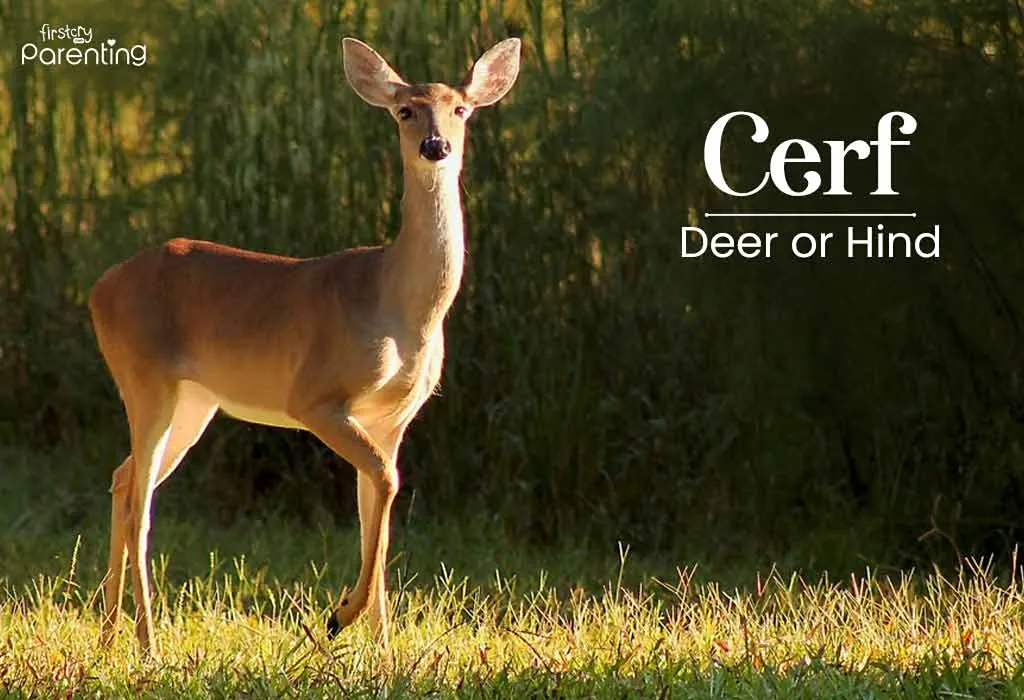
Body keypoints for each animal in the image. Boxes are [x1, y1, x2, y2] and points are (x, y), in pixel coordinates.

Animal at [87, 36, 521, 657]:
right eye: (404, 110)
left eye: (460, 108)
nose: (435, 145)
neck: (397, 303)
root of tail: (99, 289)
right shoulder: (315, 397)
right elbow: (387, 483)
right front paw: (340, 617)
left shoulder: (393, 416)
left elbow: (376, 510)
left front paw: (382, 650)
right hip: (145, 379)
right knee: (140, 503)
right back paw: (148, 645)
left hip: (195, 401)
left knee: (123, 479)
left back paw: (108, 637)